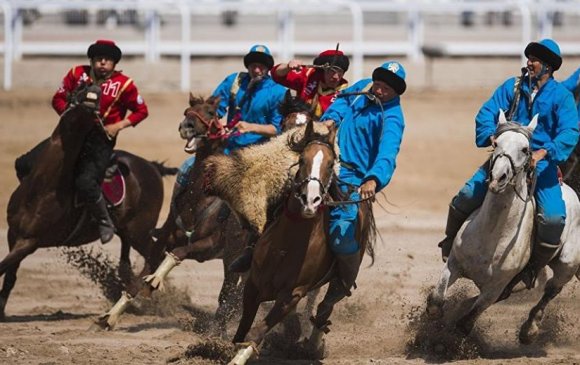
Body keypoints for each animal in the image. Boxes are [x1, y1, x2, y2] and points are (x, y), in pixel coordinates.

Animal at [1, 82, 174, 318]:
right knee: (126, 265)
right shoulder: (13, 234)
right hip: (127, 231)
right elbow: (9, 277)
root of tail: (152, 166)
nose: (93, 92)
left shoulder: (29, 242)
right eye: (78, 90)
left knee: (154, 257)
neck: (43, 186)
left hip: (140, 232)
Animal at [229, 118, 378, 362]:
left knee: (325, 309)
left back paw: (313, 346)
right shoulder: (253, 284)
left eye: (330, 164)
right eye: (301, 160)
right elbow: (242, 329)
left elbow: (255, 333)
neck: (285, 247)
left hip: (340, 280)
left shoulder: (292, 295)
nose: (311, 200)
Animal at [424, 109, 580, 342]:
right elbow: (436, 302)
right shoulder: (453, 263)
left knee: (551, 291)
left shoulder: (494, 288)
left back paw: (529, 329)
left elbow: (466, 322)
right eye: (496, 143)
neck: (491, 234)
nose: (498, 177)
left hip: (567, 265)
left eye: (525, 149)